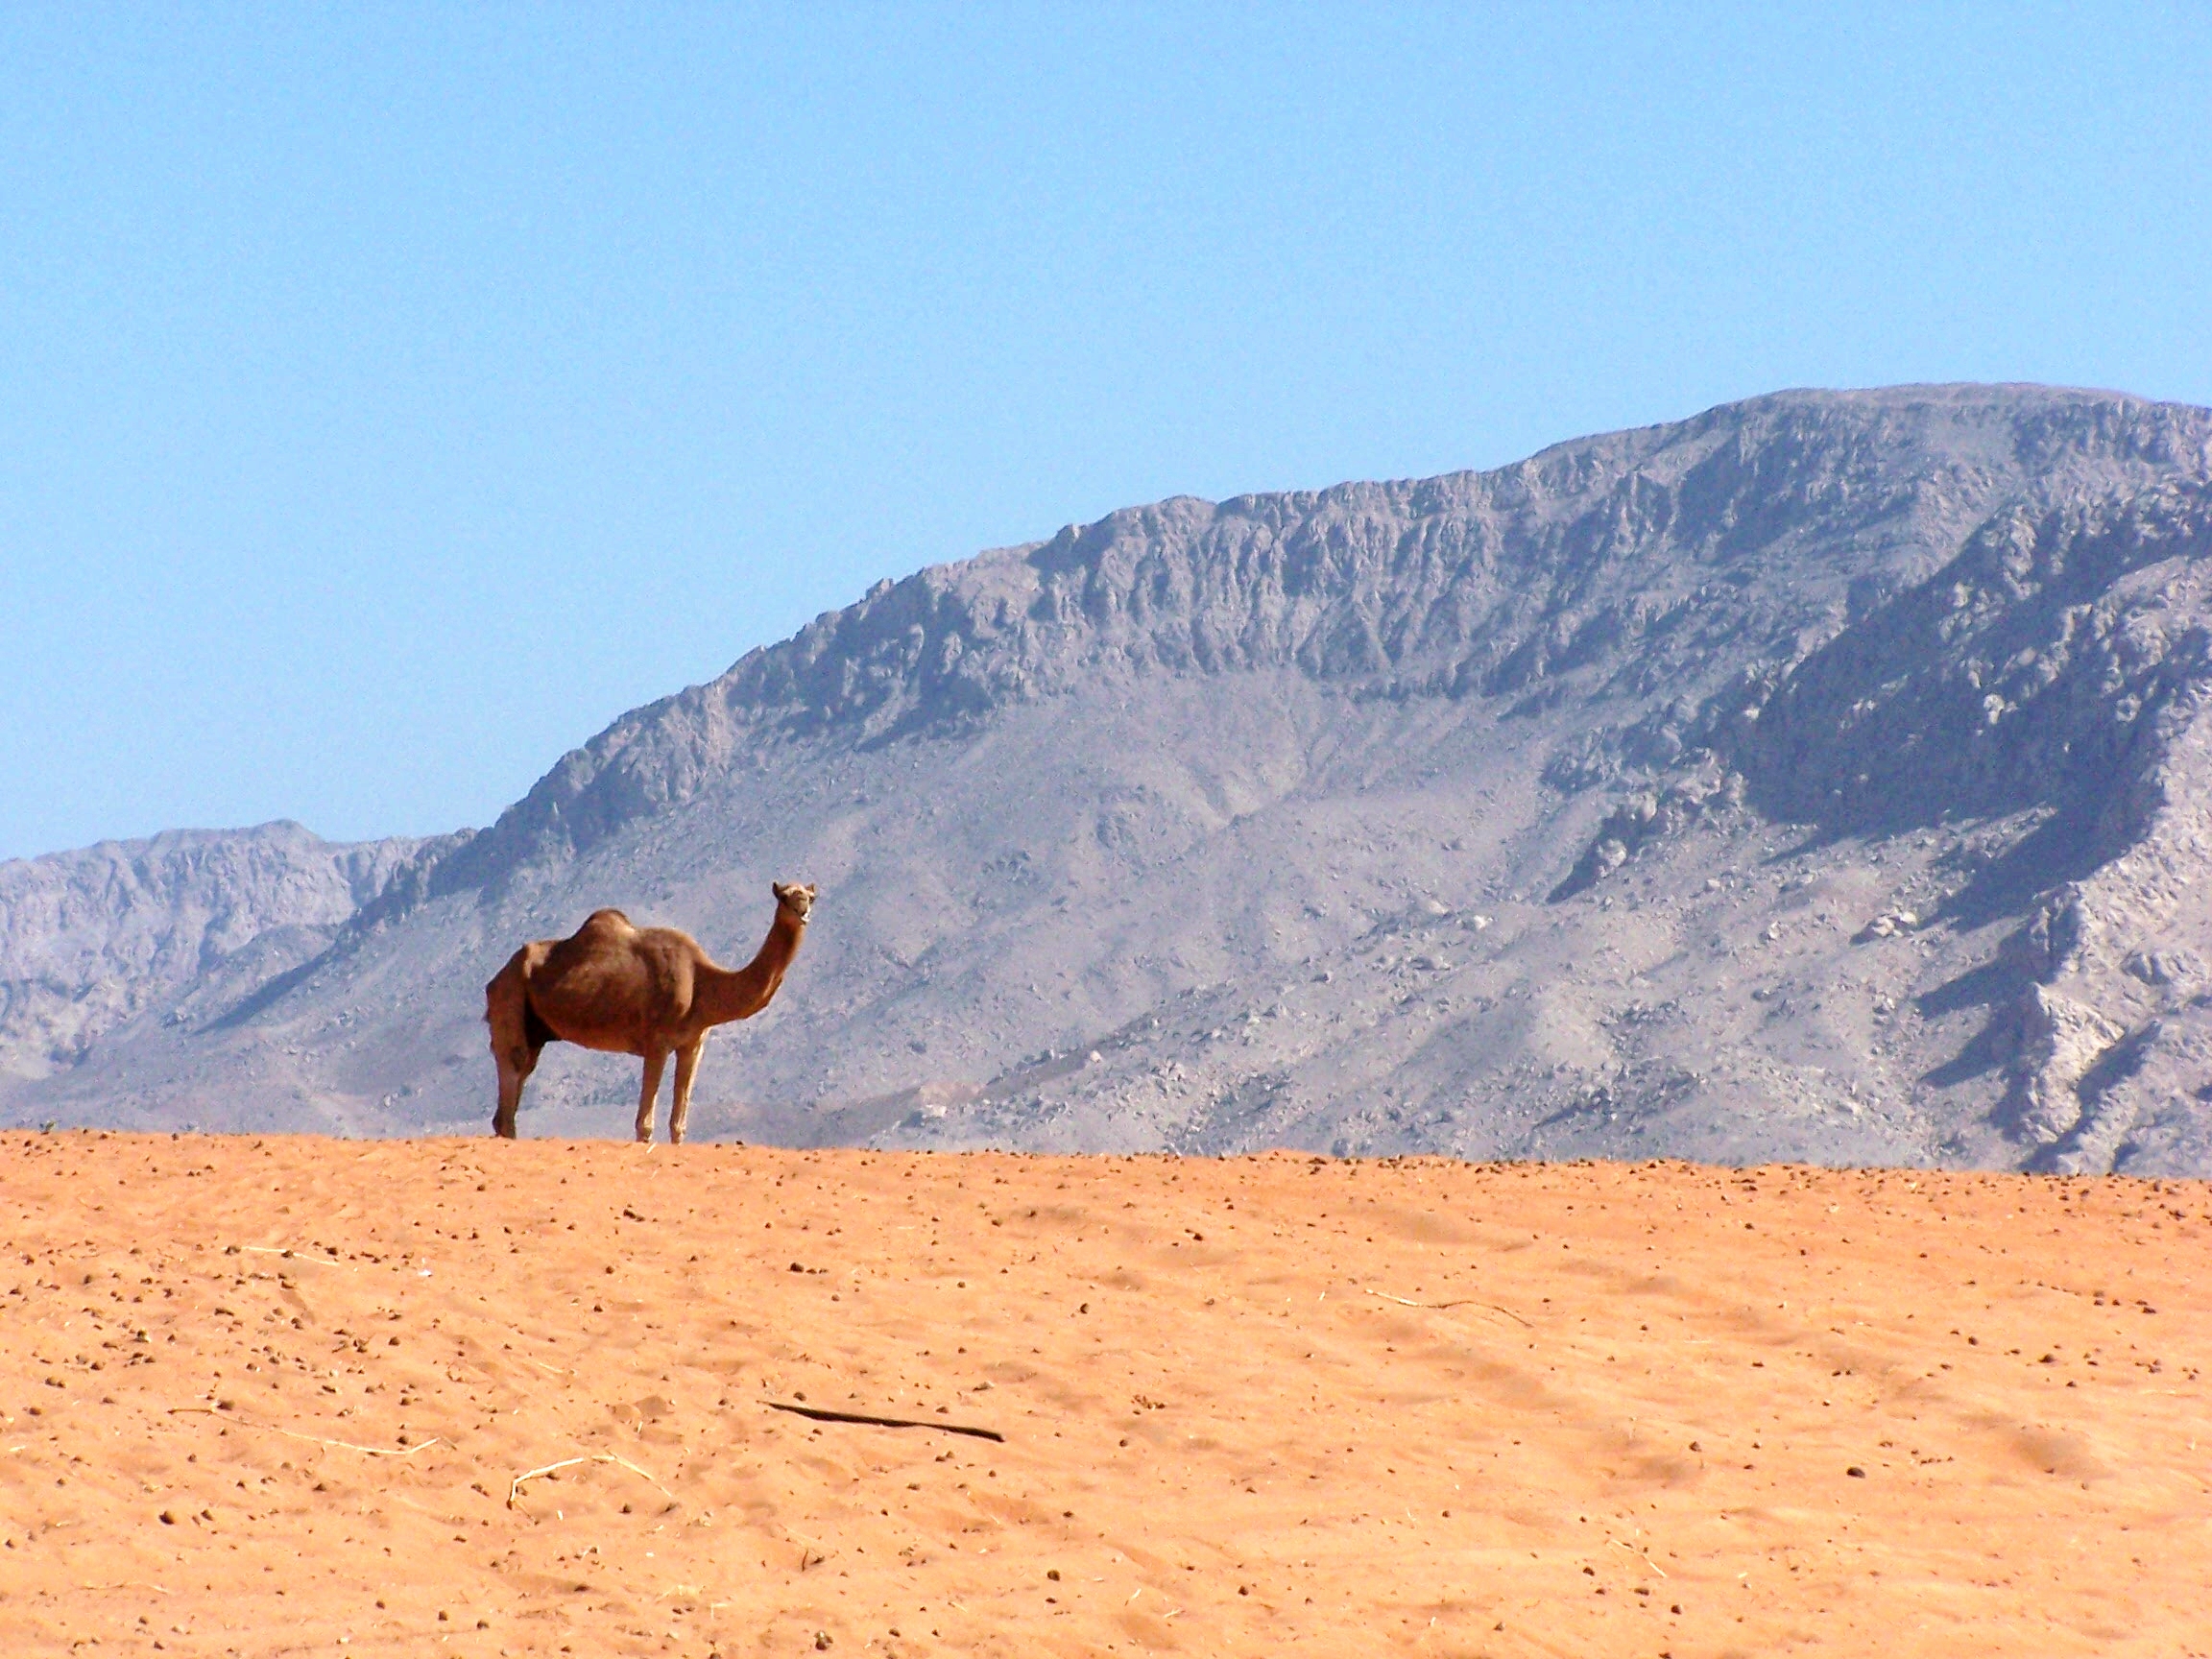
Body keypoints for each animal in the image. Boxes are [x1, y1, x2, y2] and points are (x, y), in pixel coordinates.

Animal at [484, 882, 814, 1144]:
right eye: (784, 897)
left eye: (811, 897)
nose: (803, 913)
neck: (702, 981)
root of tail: (496, 978)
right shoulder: (657, 1041)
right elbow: (644, 1124)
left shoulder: (693, 1043)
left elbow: (678, 1124)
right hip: (510, 998)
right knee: (512, 1067)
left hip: (535, 1030)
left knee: (518, 1079)